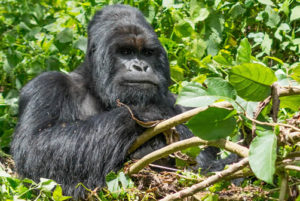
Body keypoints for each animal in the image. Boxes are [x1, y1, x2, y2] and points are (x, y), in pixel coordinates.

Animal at [11, 3, 226, 199]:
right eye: (126, 52)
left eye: (147, 53)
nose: (141, 67)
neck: (95, 87)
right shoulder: (46, 86)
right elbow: (36, 145)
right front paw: (147, 113)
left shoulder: (189, 104)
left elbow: (206, 164)